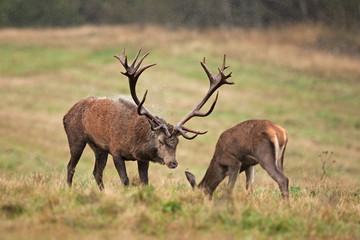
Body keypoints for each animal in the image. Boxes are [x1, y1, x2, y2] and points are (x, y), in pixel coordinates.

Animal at [63, 49, 233, 190]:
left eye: (177, 143)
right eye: (161, 141)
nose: (173, 163)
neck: (136, 143)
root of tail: (66, 114)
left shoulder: (142, 159)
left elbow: (145, 182)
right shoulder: (116, 150)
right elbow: (125, 180)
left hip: (98, 147)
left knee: (96, 172)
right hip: (76, 137)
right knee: (71, 166)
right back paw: (69, 189)